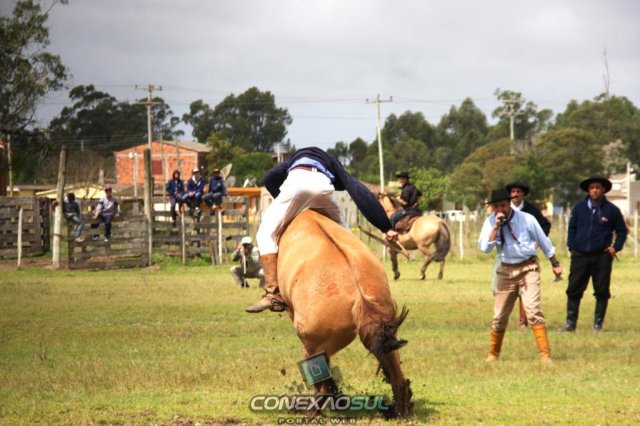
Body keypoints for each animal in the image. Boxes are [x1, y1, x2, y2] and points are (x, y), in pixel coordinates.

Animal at [278, 209, 412, 418]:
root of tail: (360, 295)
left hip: (312, 344)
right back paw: (399, 408)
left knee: (320, 379)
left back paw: (313, 409)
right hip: (384, 330)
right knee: (395, 370)